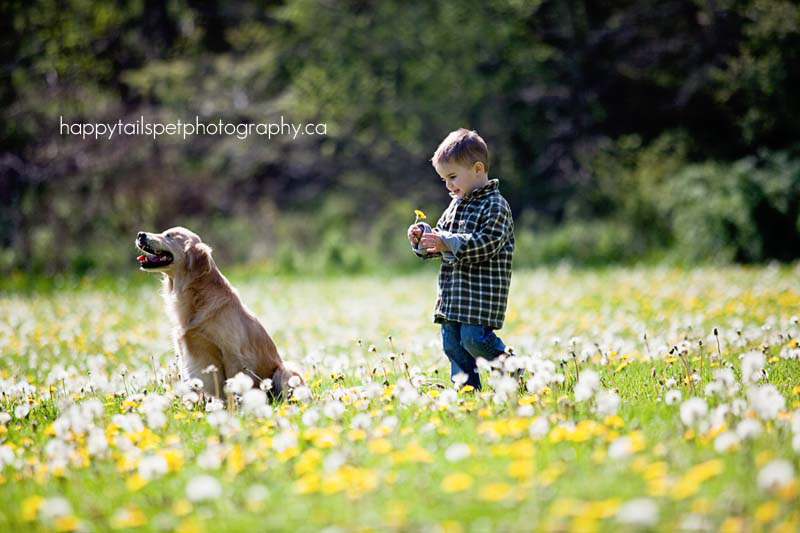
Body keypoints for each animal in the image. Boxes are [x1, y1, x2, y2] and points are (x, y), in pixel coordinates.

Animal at [136, 227, 302, 396]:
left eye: (169, 236)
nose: (140, 234)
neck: (195, 297)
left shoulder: (233, 354)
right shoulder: (186, 353)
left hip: (285, 371)